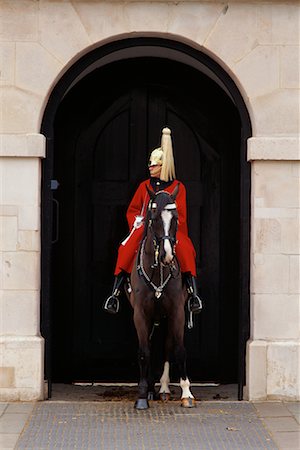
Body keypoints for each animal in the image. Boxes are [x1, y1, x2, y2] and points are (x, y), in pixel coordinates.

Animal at [127, 185, 196, 410]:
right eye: (154, 217)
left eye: (175, 218)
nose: (167, 256)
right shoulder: (140, 314)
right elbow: (144, 352)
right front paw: (141, 395)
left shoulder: (177, 311)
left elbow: (179, 349)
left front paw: (187, 393)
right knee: (150, 346)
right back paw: (150, 389)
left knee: (167, 345)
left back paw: (164, 388)